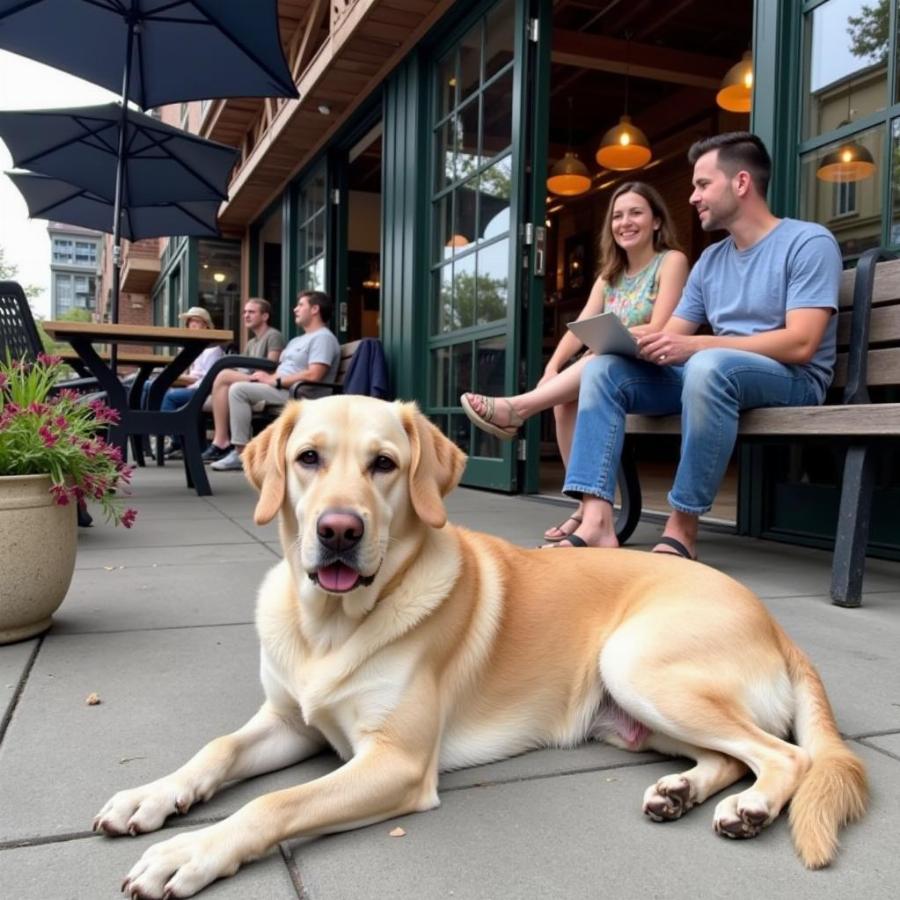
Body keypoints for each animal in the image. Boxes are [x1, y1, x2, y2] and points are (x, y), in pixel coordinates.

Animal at [95, 398, 868, 896]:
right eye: (307, 458)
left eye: (384, 464)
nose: (339, 531)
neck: (331, 623)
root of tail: (777, 623)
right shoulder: (288, 721)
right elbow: (217, 751)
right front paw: (150, 797)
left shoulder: (397, 764)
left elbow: (273, 805)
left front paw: (191, 851)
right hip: (639, 710)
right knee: (731, 755)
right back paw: (682, 792)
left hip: (636, 663)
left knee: (785, 756)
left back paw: (751, 809)